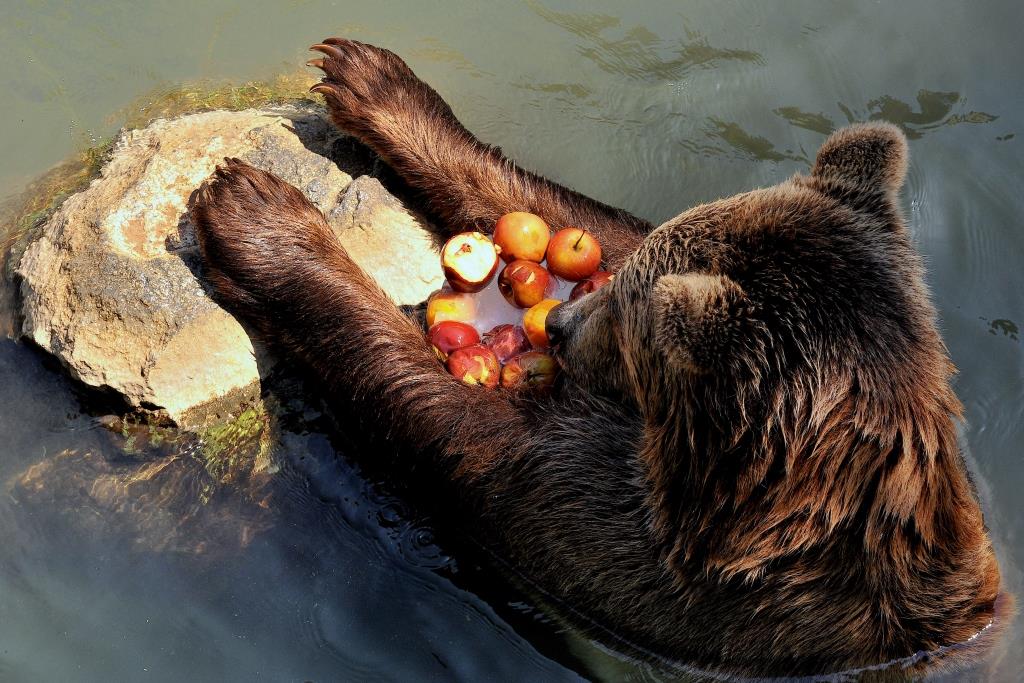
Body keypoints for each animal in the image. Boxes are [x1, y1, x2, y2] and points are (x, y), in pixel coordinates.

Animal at [188, 40, 1003, 679]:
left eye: (630, 316)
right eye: (632, 285)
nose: (563, 325)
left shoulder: (642, 570)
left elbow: (451, 427)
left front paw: (257, 214)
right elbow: (584, 218)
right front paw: (371, 81)